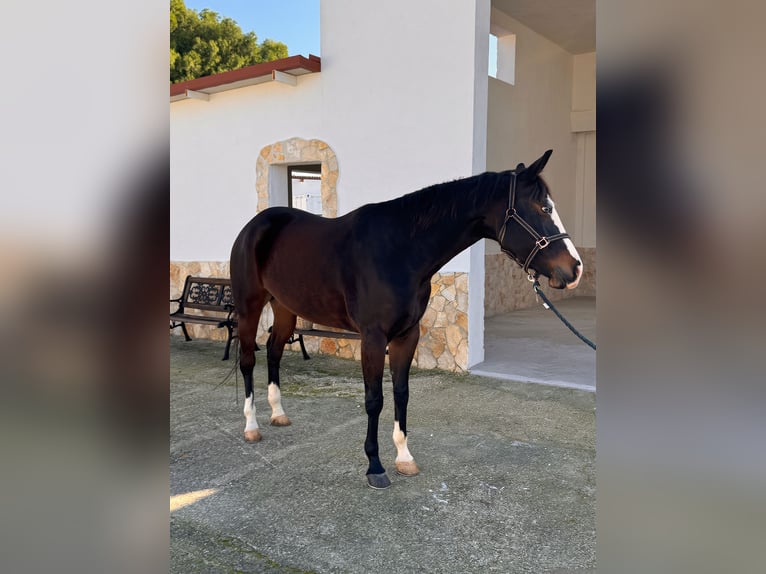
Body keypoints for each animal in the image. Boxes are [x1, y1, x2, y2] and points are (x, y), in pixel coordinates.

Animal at [229, 149, 582, 489]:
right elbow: (375, 399)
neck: (400, 250)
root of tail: (253, 227)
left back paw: (278, 413)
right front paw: (375, 466)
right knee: (248, 360)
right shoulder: (373, 338)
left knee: (274, 351)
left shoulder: (407, 334)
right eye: (543, 208)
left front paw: (404, 457)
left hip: (285, 308)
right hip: (249, 308)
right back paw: (251, 425)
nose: (575, 268)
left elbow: (401, 393)